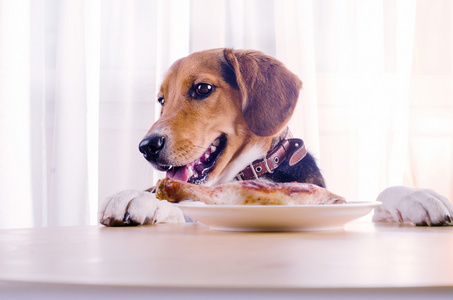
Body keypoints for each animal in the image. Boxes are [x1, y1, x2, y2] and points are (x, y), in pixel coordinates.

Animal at [100, 48, 452, 226]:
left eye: (202, 88)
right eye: (162, 100)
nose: (146, 146)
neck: (253, 171)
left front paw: (417, 197)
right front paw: (141, 198)